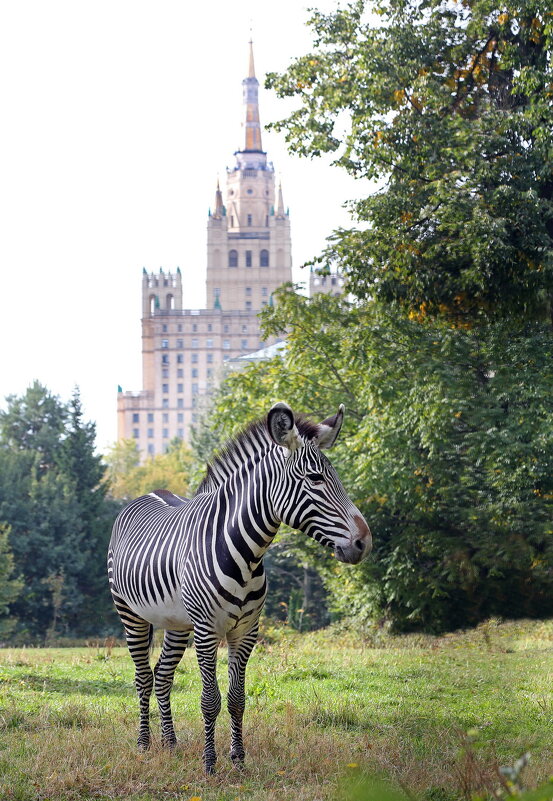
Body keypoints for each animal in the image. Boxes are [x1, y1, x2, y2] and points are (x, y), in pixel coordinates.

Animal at [108, 404, 370, 772]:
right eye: (315, 478)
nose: (364, 542)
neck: (247, 554)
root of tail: (149, 492)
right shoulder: (206, 629)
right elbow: (210, 699)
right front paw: (209, 763)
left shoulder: (246, 631)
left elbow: (236, 698)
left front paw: (239, 760)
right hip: (130, 614)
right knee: (144, 677)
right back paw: (144, 744)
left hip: (177, 623)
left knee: (162, 675)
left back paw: (170, 743)